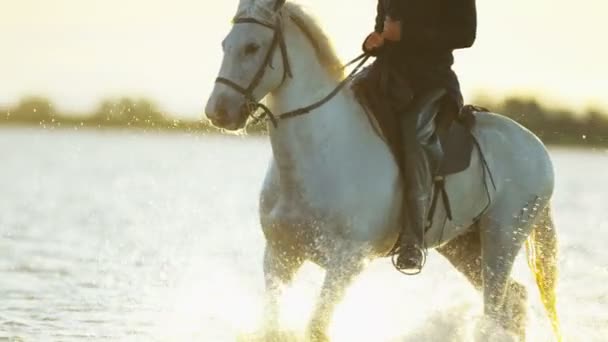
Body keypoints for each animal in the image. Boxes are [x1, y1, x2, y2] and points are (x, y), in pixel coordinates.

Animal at [204, 1, 560, 340]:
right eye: (225, 44)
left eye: (252, 47)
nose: (217, 112)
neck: (318, 152)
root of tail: (538, 148)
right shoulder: (279, 256)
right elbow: (272, 327)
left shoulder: (346, 262)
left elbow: (316, 327)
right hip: (464, 245)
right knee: (514, 302)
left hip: (502, 238)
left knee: (495, 311)